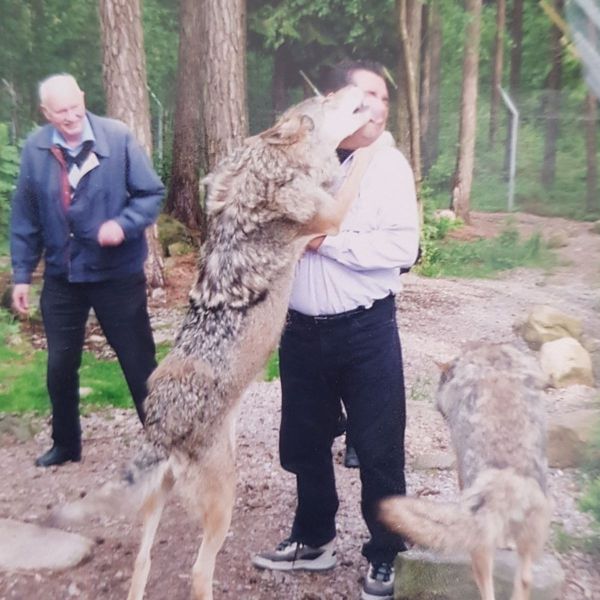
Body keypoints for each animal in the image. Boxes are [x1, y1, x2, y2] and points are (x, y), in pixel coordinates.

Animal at [52, 85, 380, 600]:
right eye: (328, 97)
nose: (360, 88)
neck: (271, 167)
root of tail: (162, 423)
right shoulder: (330, 213)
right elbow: (358, 166)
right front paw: (383, 139)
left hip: (158, 499)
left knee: (142, 561)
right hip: (223, 503)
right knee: (197, 571)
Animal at [382, 342, 552, 600]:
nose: (436, 406)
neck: (491, 362)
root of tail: (509, 485)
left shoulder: (459, 463)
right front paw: (506, 543)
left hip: (479, 550)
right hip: (527, 548)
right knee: (524, 581)